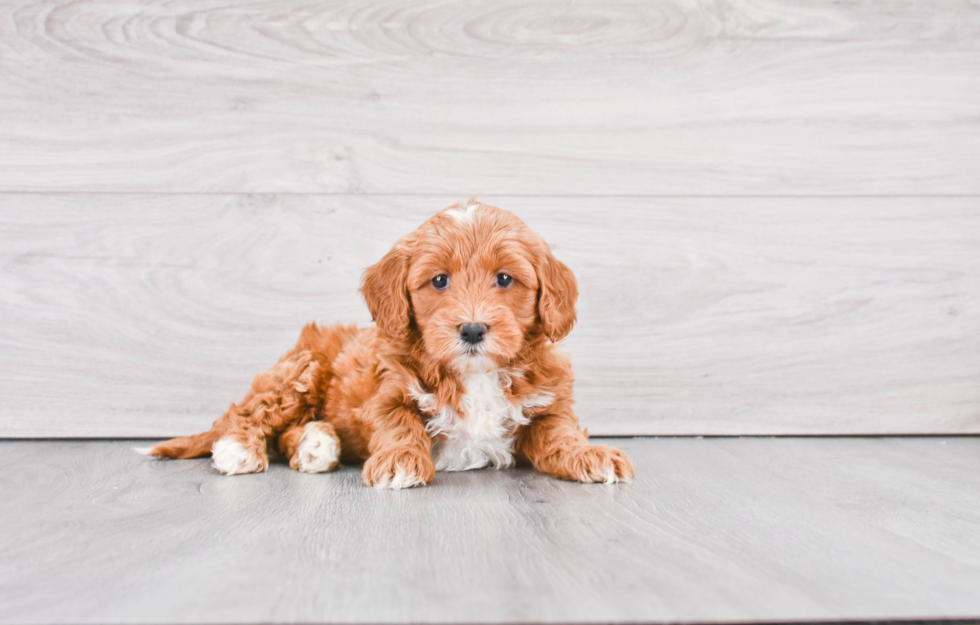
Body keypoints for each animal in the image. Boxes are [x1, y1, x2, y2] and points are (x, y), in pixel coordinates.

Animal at [144, 200, 636, 488]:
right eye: (439, 281)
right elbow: (400, 423)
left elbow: (560, 431)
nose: (473, 330)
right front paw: (401, 461)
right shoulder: (387, 391)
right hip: (299, 370)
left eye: (504, 279)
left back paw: (315, 445)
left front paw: (589, 455)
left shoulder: (547, 401)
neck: (475, 375)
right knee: (247, 414)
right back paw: (242, 449)